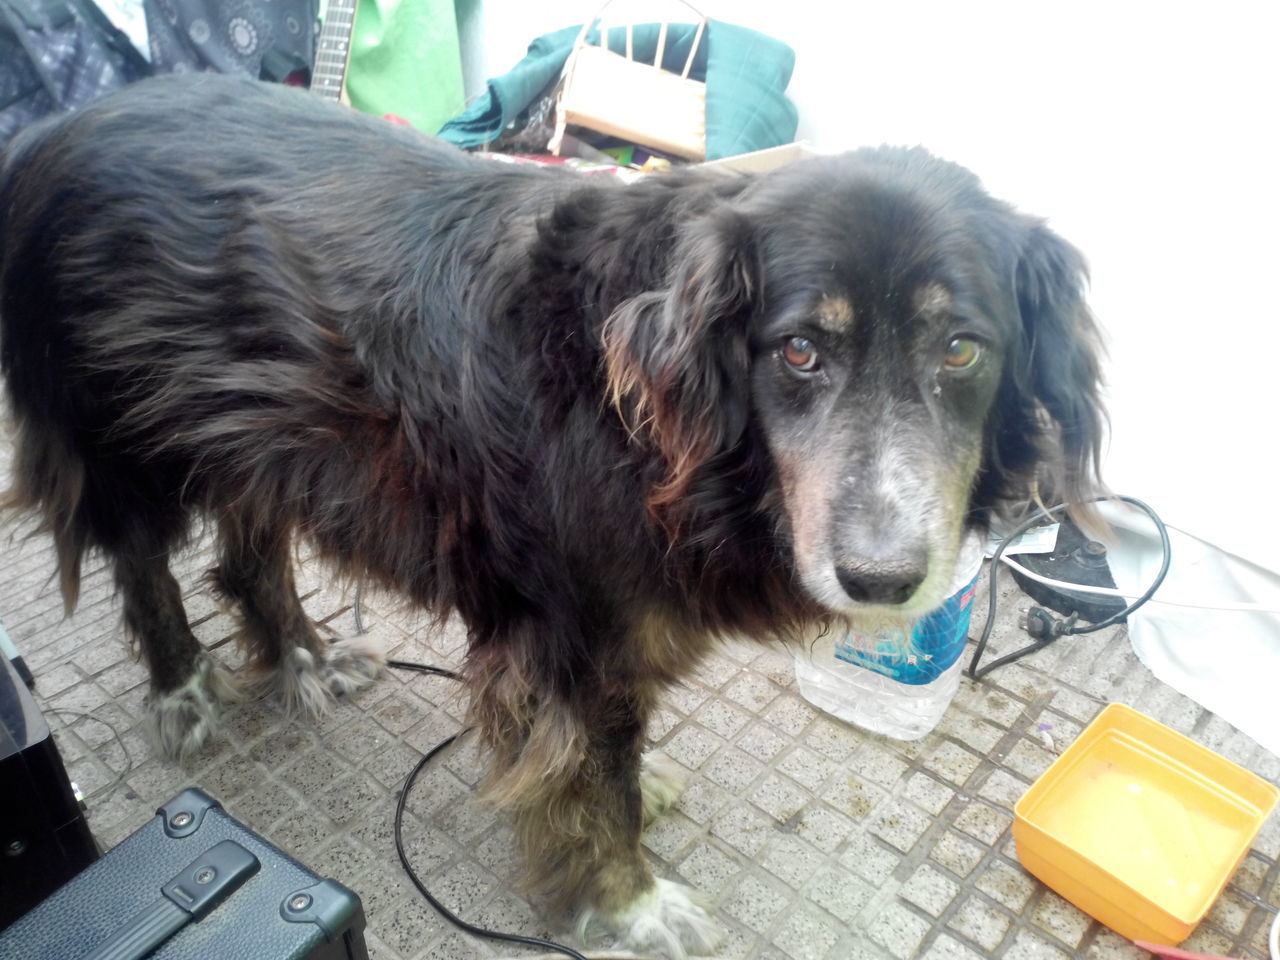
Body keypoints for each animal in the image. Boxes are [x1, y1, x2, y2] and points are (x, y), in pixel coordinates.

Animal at [0, 75, 1100, 960]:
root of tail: (55, 128)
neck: (653, 420)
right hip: (122, 439)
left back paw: (305, 656)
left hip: (262, 431)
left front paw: (638, 803)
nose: (882, 580)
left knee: (250, 552)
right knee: (142, 564)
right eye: (797, 350)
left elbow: (612, 758)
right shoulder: (575, 638)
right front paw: (629, 903)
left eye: (960, 349)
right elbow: (595, 784)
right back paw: (185, 690)